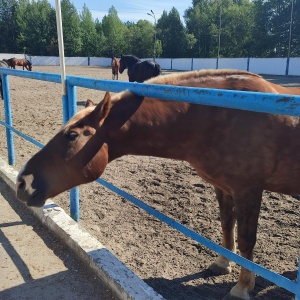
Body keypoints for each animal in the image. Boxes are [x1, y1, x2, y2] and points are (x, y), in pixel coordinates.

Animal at [15, 69, 300, 298]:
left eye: (72, 135)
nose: (22, 182)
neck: (222, 113)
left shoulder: (248, 191)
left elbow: (246, 240)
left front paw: (242, 287)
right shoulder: (223, 187)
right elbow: (226, 226)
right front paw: (222, 263)